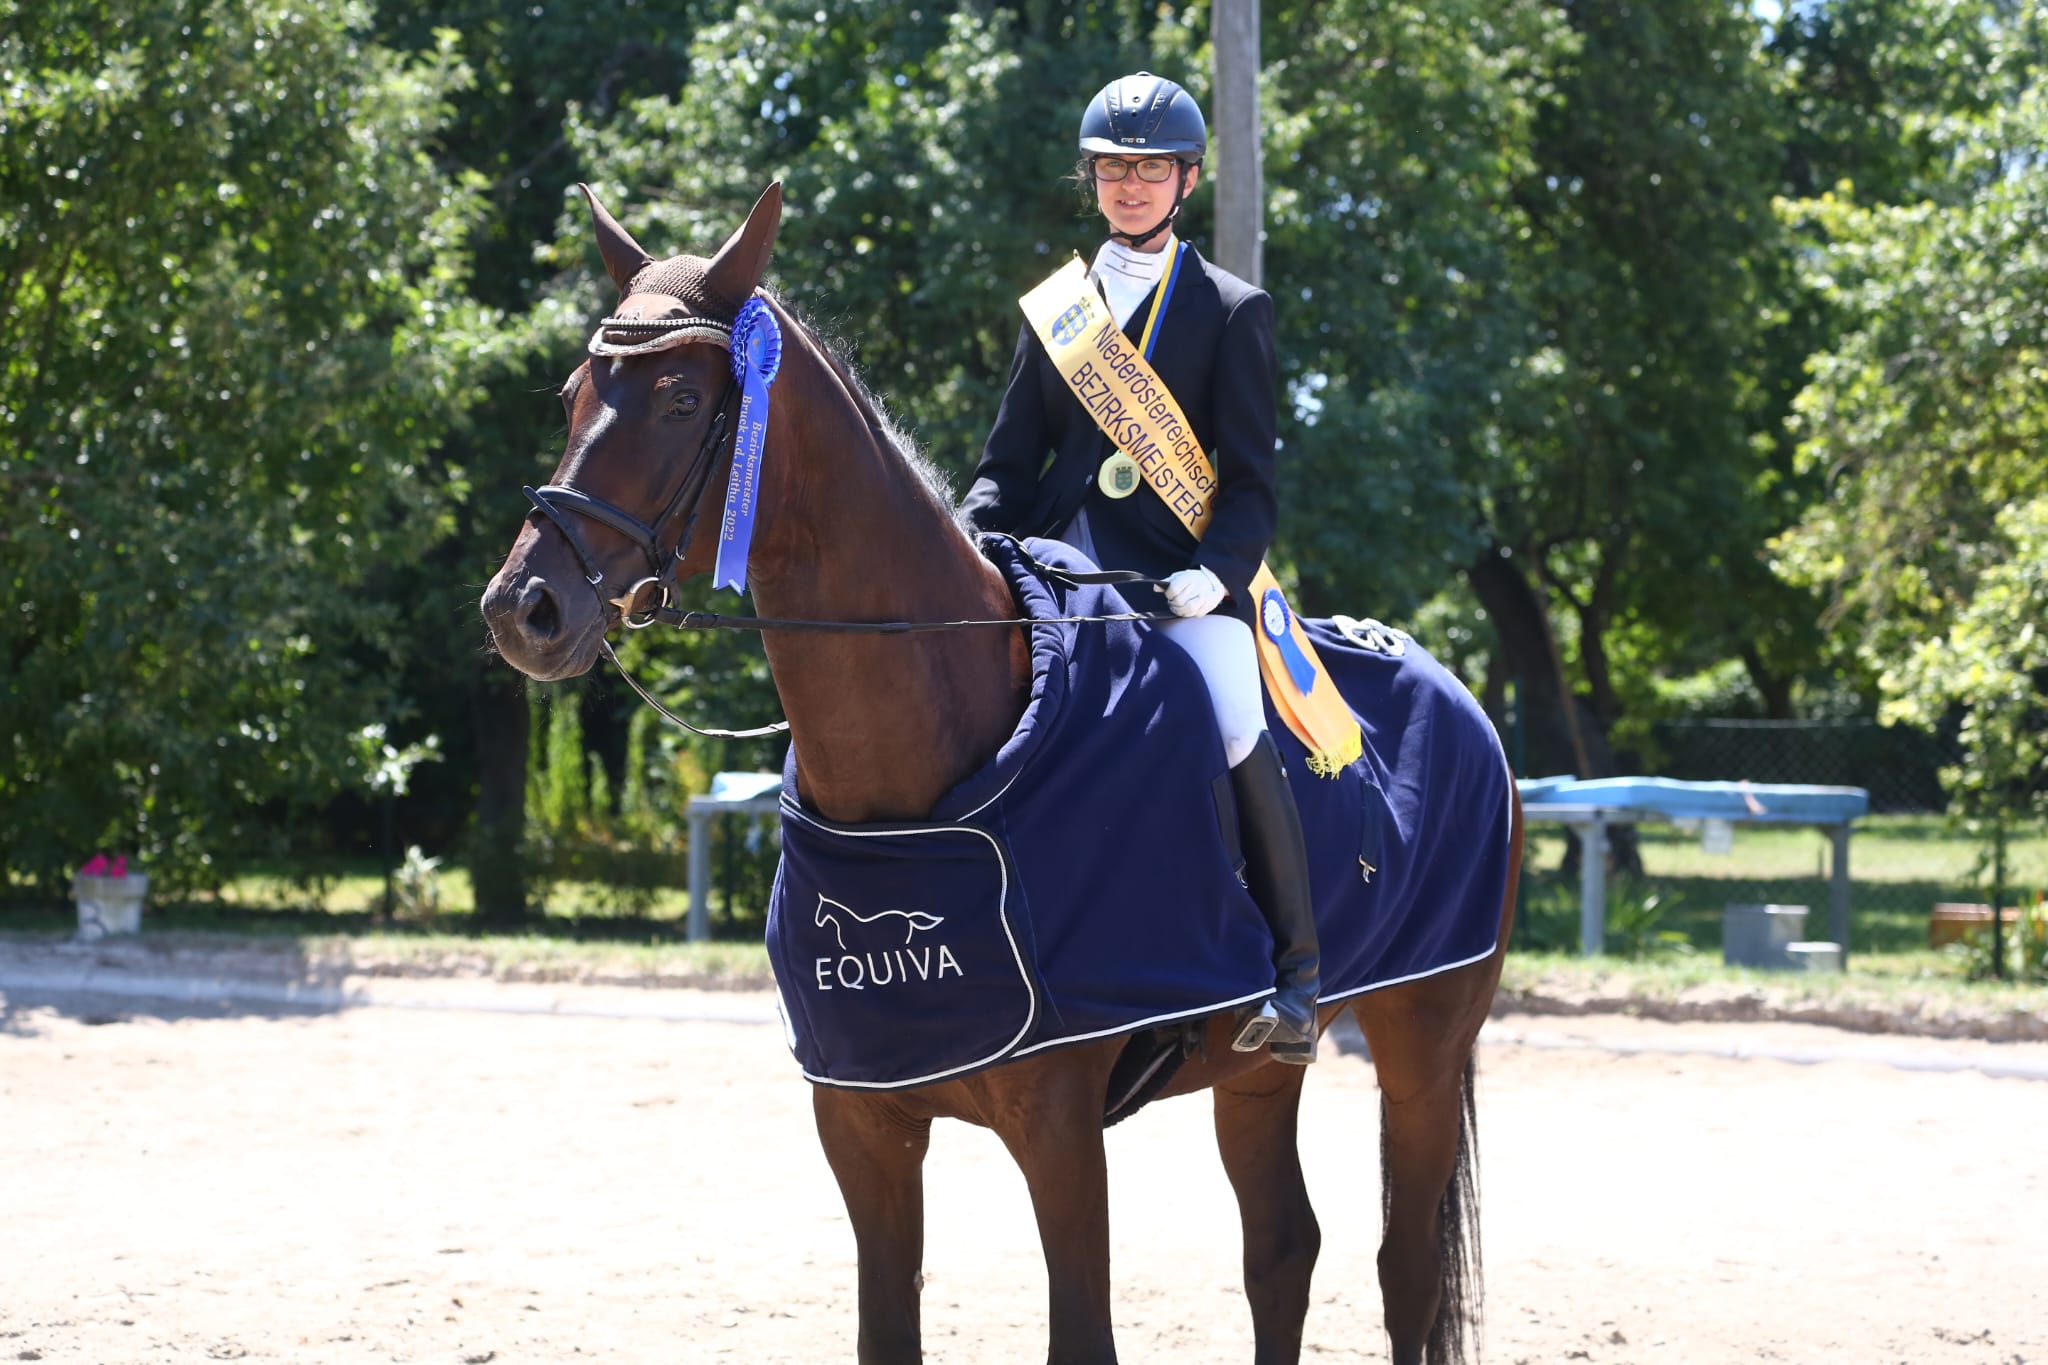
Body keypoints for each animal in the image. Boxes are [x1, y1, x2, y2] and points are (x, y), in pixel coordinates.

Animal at [479, 184, 1523, 1365]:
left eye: (679, 397)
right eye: (575, 395)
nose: (525, 609)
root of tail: (1453, 691)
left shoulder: (1060, 1127)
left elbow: (1084, 1332)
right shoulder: (863, 1123)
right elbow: (887, 1330)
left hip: (1424, 1042)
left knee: (1404, 1269)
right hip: (1255, 1072)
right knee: (1281, 1249)